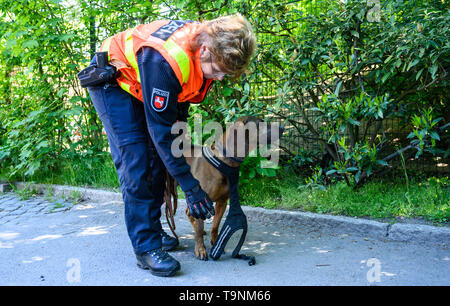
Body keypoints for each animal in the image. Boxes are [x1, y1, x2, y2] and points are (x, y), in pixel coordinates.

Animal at [172, 116, 282, 260]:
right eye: (260, 123)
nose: (282, 128)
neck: (222, 163)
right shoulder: (201, 202)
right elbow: (200, 230)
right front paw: (200, 250)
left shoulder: (221, 202)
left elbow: (215, 227)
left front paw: (216, 244)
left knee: (188, 212)